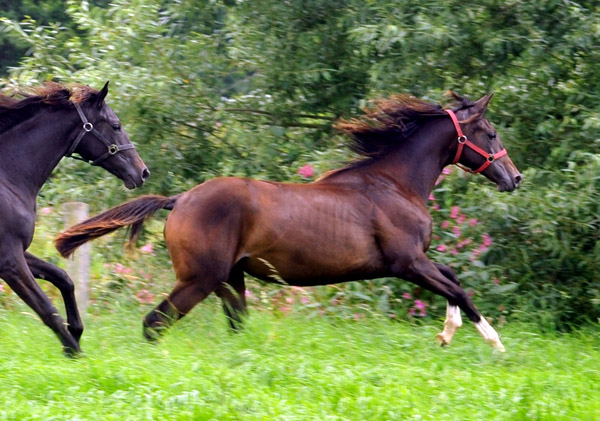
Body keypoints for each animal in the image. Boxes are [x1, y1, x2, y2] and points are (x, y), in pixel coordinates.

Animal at [0, 80, 149, 352]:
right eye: (116, 125)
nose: (143, 172)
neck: (7, 177)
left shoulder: (19, 251)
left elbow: (64, 278)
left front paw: (76, 333)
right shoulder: (9, 260)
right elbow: (47, 310)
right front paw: (75, 352)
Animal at [58, 92, 524, 352]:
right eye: (491, 133)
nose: (514, 178)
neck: (394, 184)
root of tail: (180, 200)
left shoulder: (415, 261)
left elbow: (453, 278)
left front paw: (447, 334)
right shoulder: (406, 263)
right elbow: (458, 289)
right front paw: (494, 343)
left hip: (230, 281)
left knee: (232, 326)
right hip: (199, 280)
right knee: (154, 324)